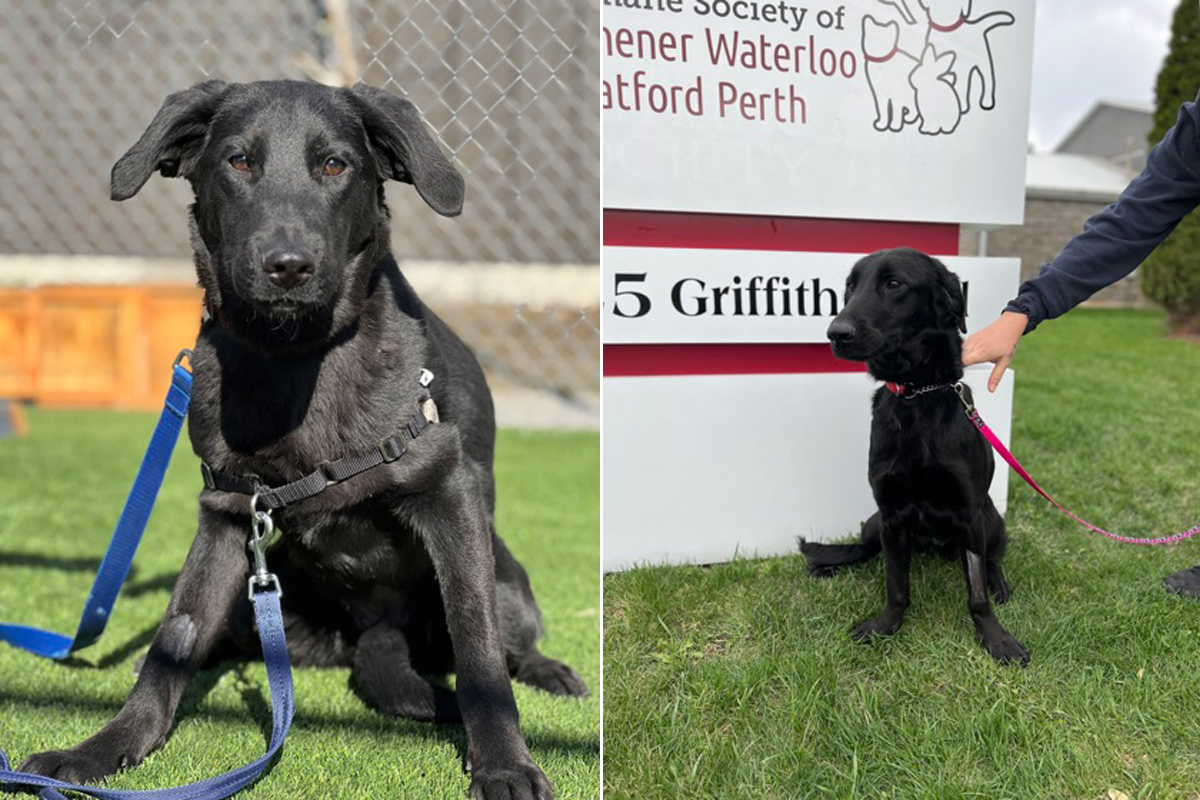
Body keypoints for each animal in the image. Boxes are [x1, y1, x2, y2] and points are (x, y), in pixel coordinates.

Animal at [801, 250, 1027, 671]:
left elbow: (976, 593)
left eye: (894, 284)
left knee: (992, 558)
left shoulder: (969, 514)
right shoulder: (891, 514)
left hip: (991, 519)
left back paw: (998, 581)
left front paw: (995, 637)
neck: (917, 395)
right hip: (874, 522)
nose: (836, 333)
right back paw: (826, 563)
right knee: (865, 549)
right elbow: (895, 585)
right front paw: (886, 625)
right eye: (851, 287)